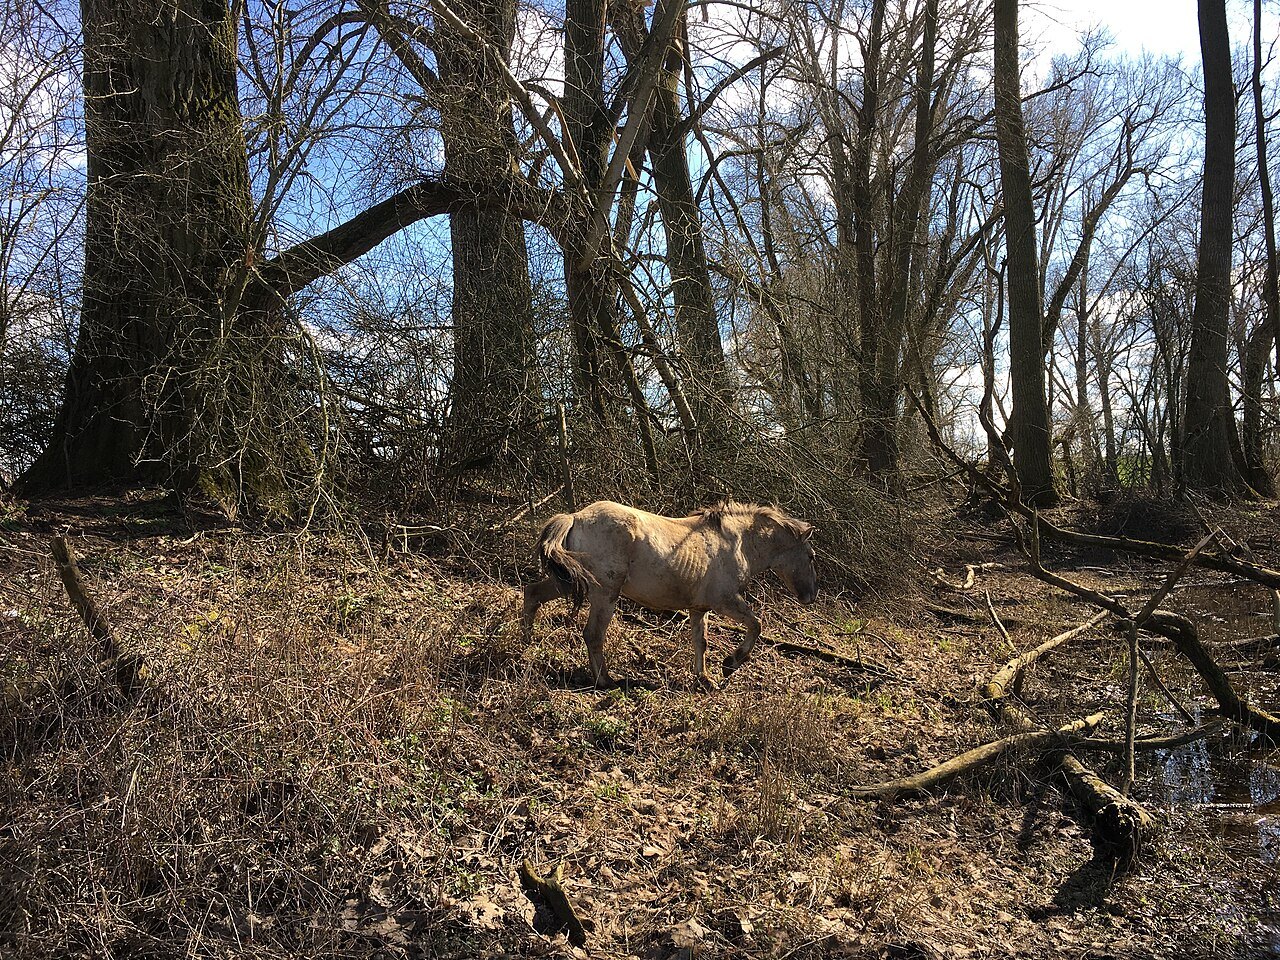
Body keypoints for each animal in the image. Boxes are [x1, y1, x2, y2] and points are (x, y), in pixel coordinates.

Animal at [521, 500, 818, 689]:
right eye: (811, 556)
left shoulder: (699, 608)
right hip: (605, 594)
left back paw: (524, 647)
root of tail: (576, 517)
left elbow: (701, 642)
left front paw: (704, 679)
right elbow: (756, 625)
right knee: (593, 634)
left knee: (532, 594)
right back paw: (605, 680)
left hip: (567, 582)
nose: (811, 596)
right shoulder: (725, 601)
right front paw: (730, 664)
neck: (737, 543)